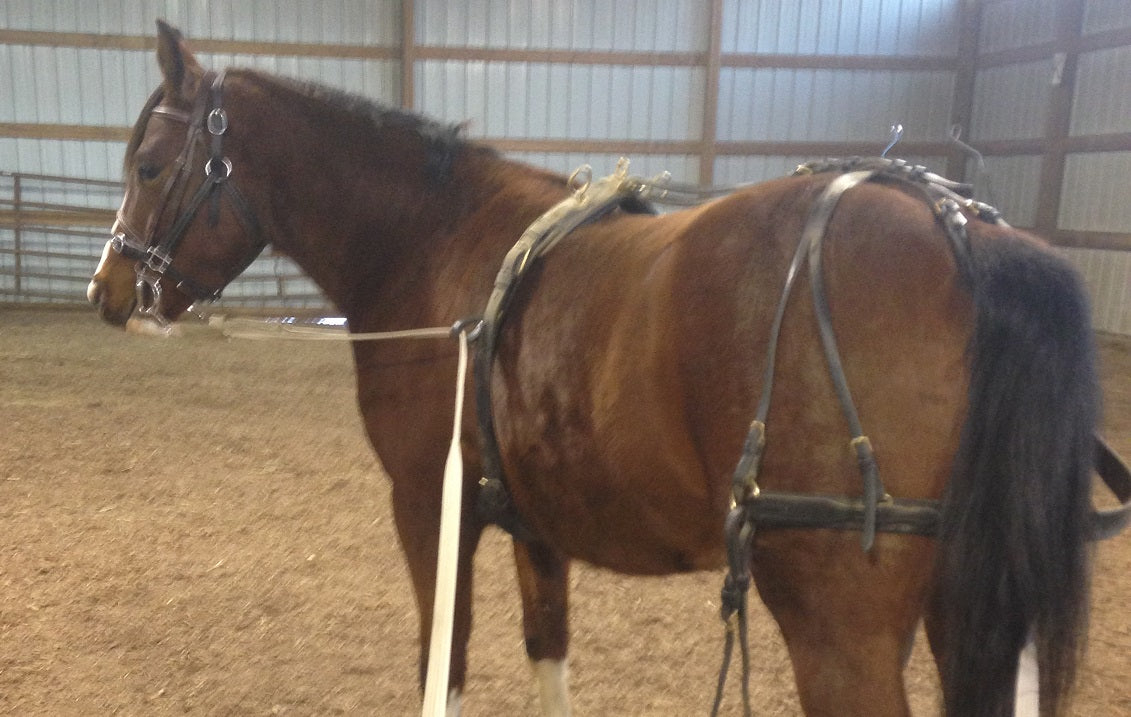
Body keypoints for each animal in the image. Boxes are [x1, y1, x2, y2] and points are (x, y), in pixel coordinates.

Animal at [87, 21, 1121, 716]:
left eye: (148, 164)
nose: (106, 289)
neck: (434, 243)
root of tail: (967, 236)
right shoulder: (533, 522)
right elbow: (547, 652)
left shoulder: (429, 506)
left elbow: (442, 663)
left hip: (839, 627)